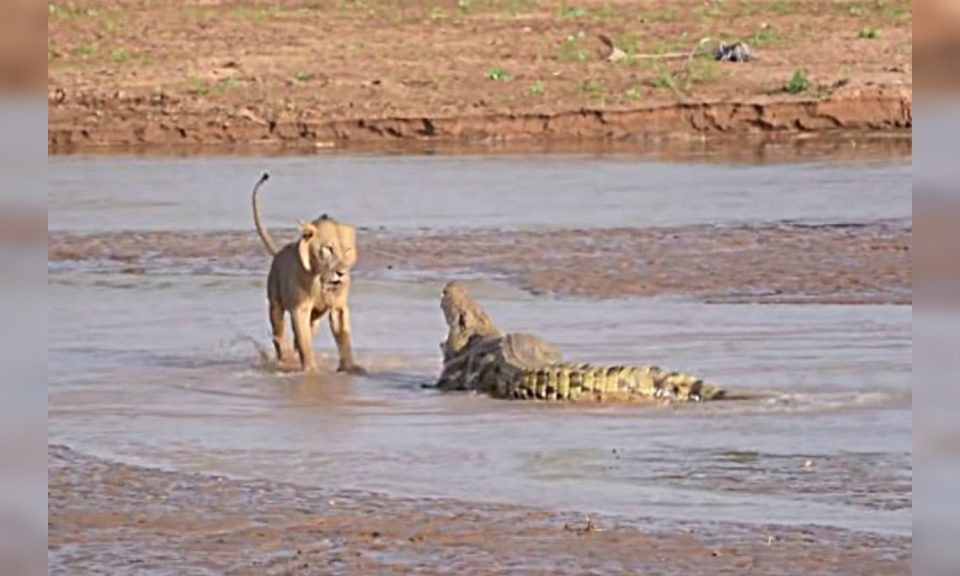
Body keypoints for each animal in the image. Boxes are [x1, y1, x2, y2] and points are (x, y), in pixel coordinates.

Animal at [251, 173, 364, 374]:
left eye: (347, 249)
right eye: (328, 249)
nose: (341, 273)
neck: (321, 282)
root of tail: (278, 253)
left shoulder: (338, 307)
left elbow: (344, 340)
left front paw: (349, 367)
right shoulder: (300, 308)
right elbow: (304, 341)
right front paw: (311, 369)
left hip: (316, 316)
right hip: (275, 303)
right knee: (279, 334)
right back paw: (285, 359)